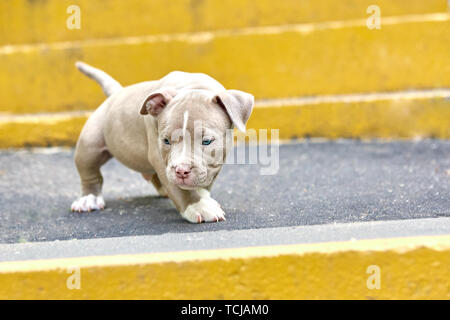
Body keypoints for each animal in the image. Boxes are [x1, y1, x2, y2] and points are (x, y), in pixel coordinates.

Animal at [69, 62, 253, 222]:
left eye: (207, 141)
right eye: (165, 140)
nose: (181, 171)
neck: (192, 86)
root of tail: (116, 93)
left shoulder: (213, 163)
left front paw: (203, 196)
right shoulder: (159, 157)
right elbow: (180, 190)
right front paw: (199, 206)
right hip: (89, 144)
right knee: (90, 173)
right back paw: (89, 199)